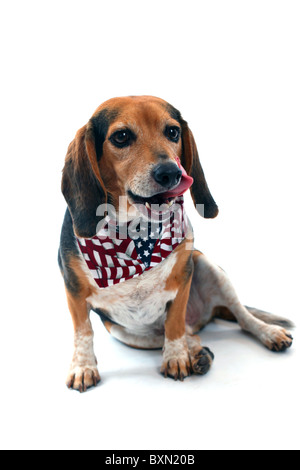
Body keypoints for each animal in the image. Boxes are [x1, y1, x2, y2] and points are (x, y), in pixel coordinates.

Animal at [58, 93, 292, 392]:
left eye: (173, 132)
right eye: (121, 136)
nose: (170, 172)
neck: (138, 234)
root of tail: (205, 318)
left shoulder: (183, 279)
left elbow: (175, 325)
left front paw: (176, 357)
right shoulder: (73, 291)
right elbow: (83, 332)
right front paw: (83, 367)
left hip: (209, 267)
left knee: (240, 317)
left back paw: (267, 333)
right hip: (126, 333)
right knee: (189, 335)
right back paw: (198, 353)